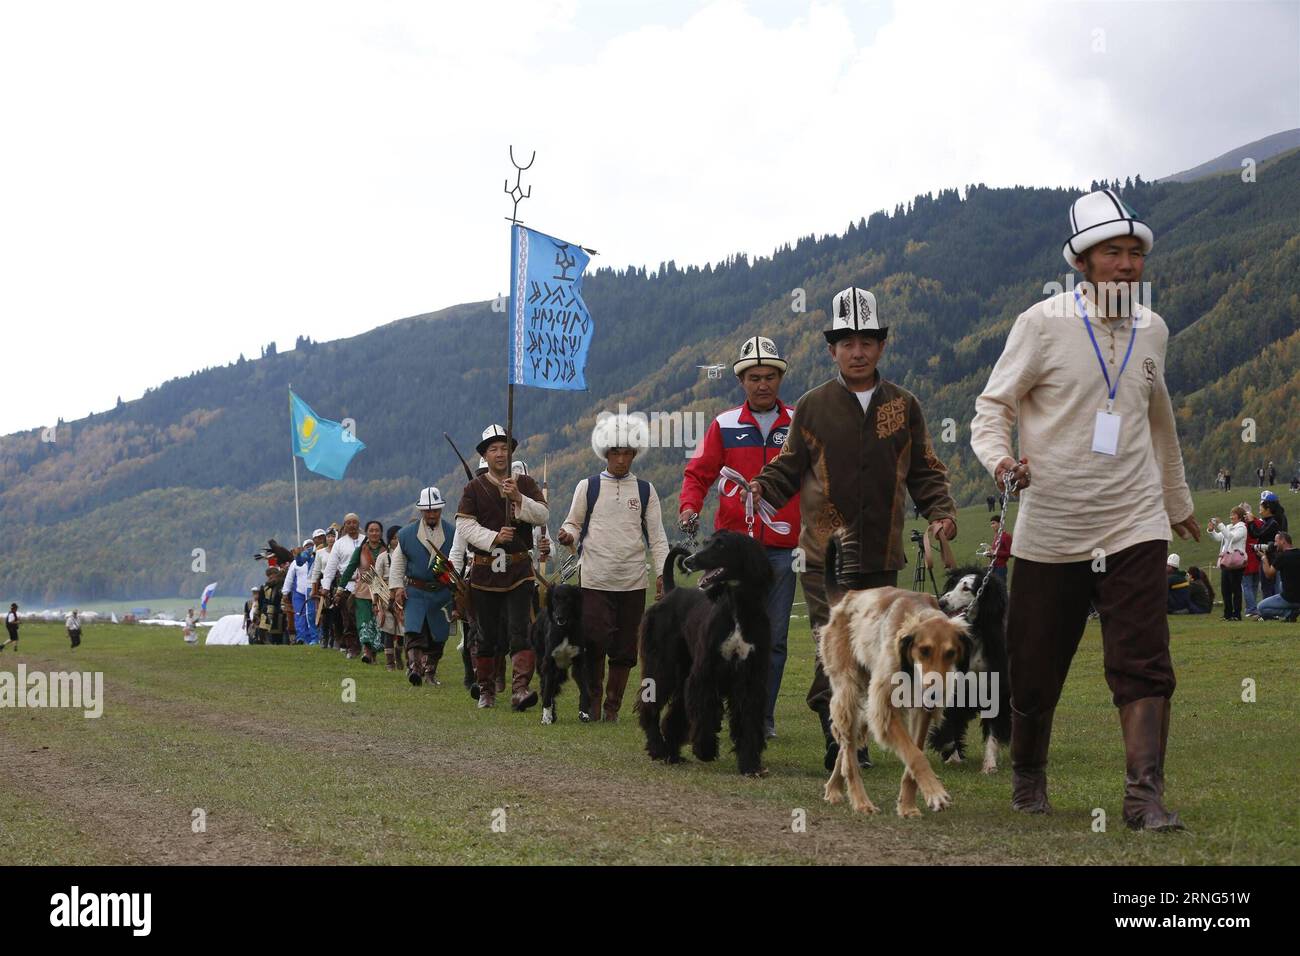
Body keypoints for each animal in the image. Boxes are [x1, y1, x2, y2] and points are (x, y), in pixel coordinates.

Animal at [527, 582, 595, 723]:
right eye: (555, 599)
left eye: (568, 599)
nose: (559, 617)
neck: (565, 630)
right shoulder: (549, 664)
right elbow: (547, 692)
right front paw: (546, 717)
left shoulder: (579, 662)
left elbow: (584, 689)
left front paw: (584, 713)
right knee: (545, 686)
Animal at [637, 530, 769, 780]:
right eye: (706, 542)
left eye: (721, 545)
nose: (690, 561)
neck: (736, 607)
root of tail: (672, 590)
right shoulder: (705, 673)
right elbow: (705, 713)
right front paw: (705, 749)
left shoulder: (750, 678)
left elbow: (748, 720)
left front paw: (750, 764)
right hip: (663, 664)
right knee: (650, 703)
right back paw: (659, 748)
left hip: (682, 669)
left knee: (675, 712)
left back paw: (672, 754)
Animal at [816, 580, 972, 816]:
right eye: (924, 650)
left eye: (951, 653)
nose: (935, 694)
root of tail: (846, 597)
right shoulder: (884, 709)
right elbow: (915, 755)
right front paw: (935, 793)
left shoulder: (921, 710)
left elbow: (915, 751)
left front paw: (907, 805)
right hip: (848, 691)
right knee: (849, 752)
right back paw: (861, 801)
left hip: (864, 704)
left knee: (845, 743)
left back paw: (833, 789)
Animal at [930, 564, 1008, 775]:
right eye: (953, 584)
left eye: (966, 588)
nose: (941, 602)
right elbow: (946, 725)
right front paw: (951, 755)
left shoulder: (995, 690)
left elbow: (993, 731)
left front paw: (989, 764)